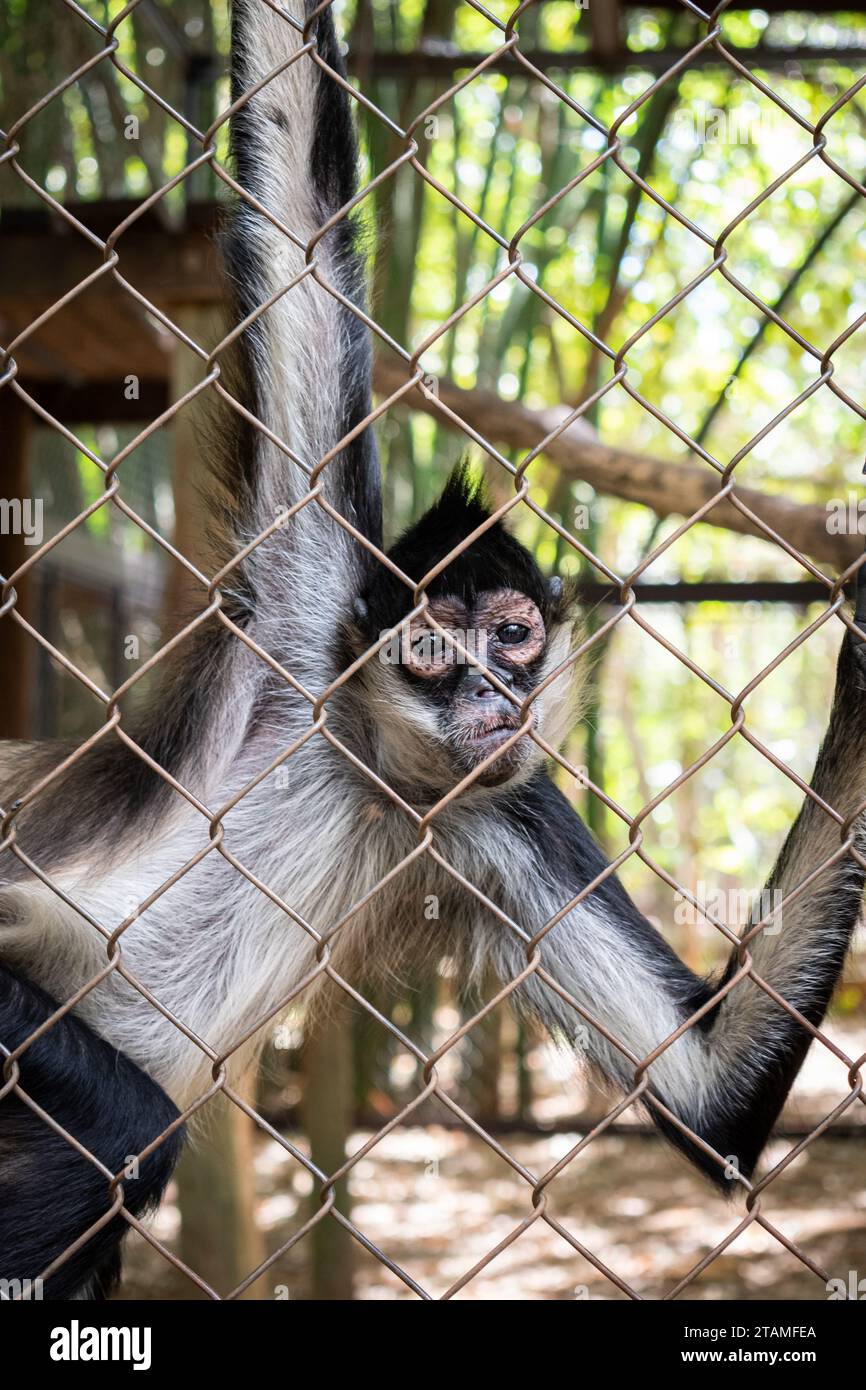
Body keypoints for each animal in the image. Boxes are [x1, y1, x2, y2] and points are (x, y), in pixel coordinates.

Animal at [1, 2, 866, 1301]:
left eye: (510, 636)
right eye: (427, 647)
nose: (485, 689)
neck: (368, 769)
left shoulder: (495, 811)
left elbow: (705, 1090)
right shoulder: (309, 610)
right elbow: (299, 199)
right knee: (120, 1129)